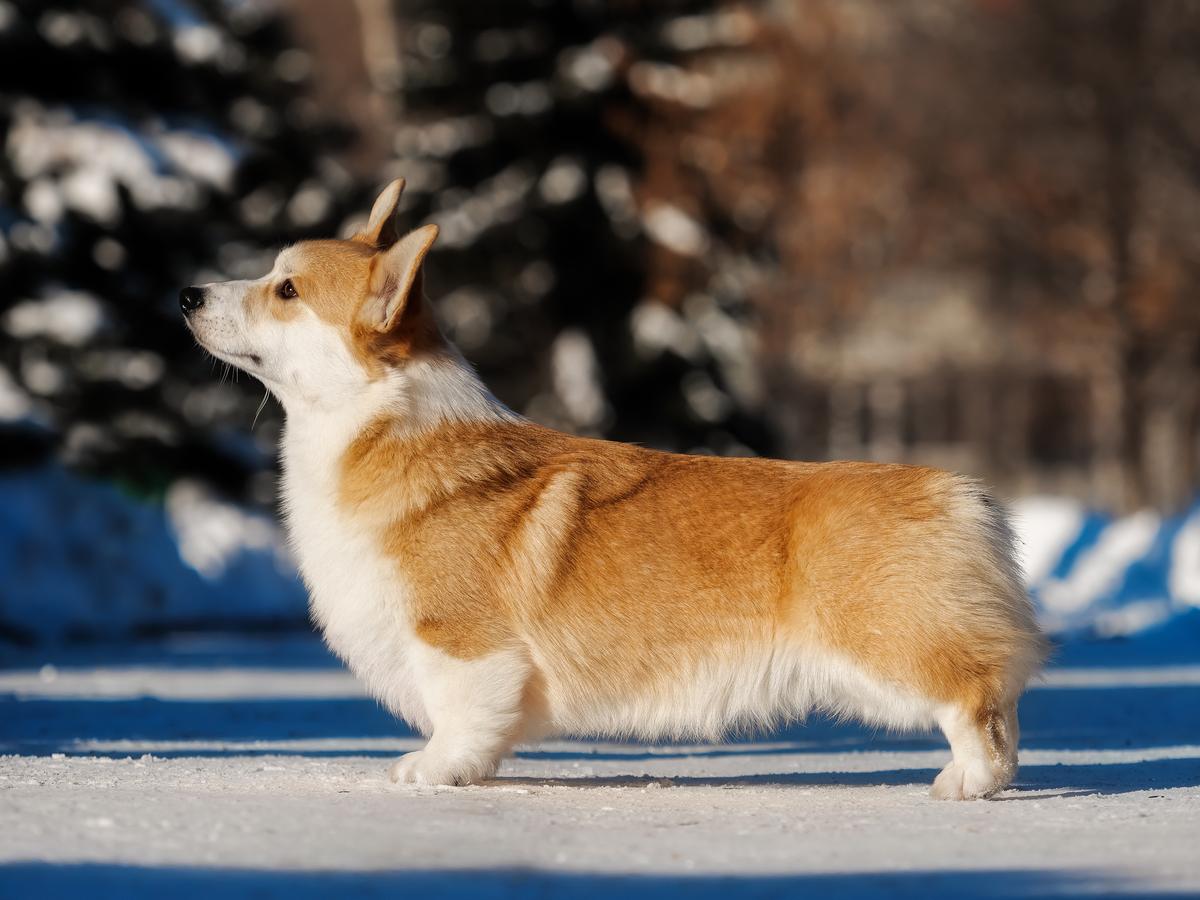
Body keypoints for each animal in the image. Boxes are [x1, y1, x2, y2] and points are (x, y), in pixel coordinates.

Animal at [181, 178, 1047, 799]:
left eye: (286, 290)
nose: (187, 294)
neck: (373, 422)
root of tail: (961, 493)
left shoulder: (459, 641)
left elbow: (461, 718)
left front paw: (434, 770)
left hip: (888, 648)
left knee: (978, 701)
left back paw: (965, 782)